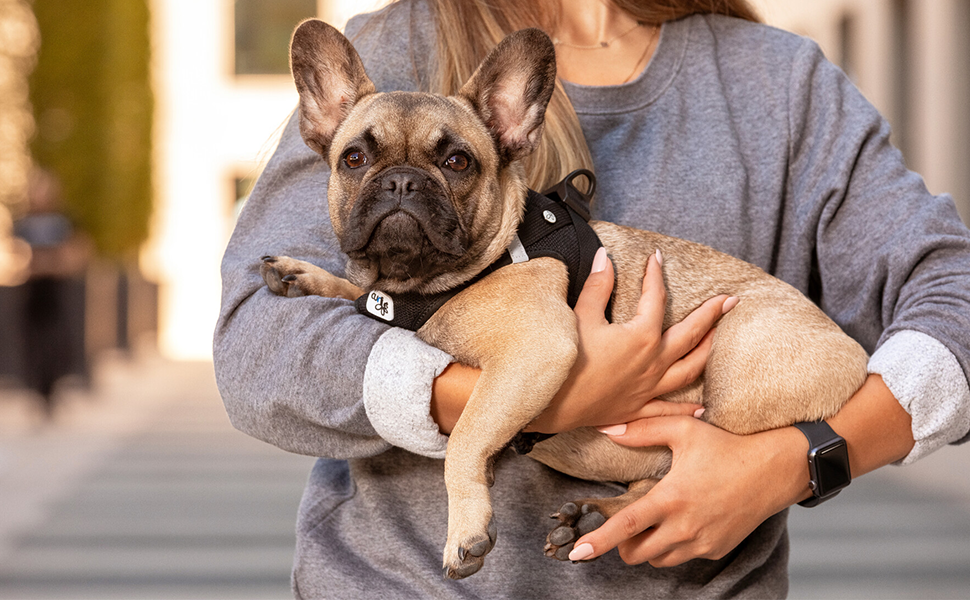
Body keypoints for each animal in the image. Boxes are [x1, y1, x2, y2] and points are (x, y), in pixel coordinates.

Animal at [255, 21, 864, 580]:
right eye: (354, 159)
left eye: (457, 163)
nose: (402, 181)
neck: (429, 285)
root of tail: (854, 354)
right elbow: (357, 289)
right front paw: (304, 274)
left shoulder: (533, 350)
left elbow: (466, 438)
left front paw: (465, 530)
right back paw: (594, 517)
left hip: (736, 369)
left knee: (694, 466)